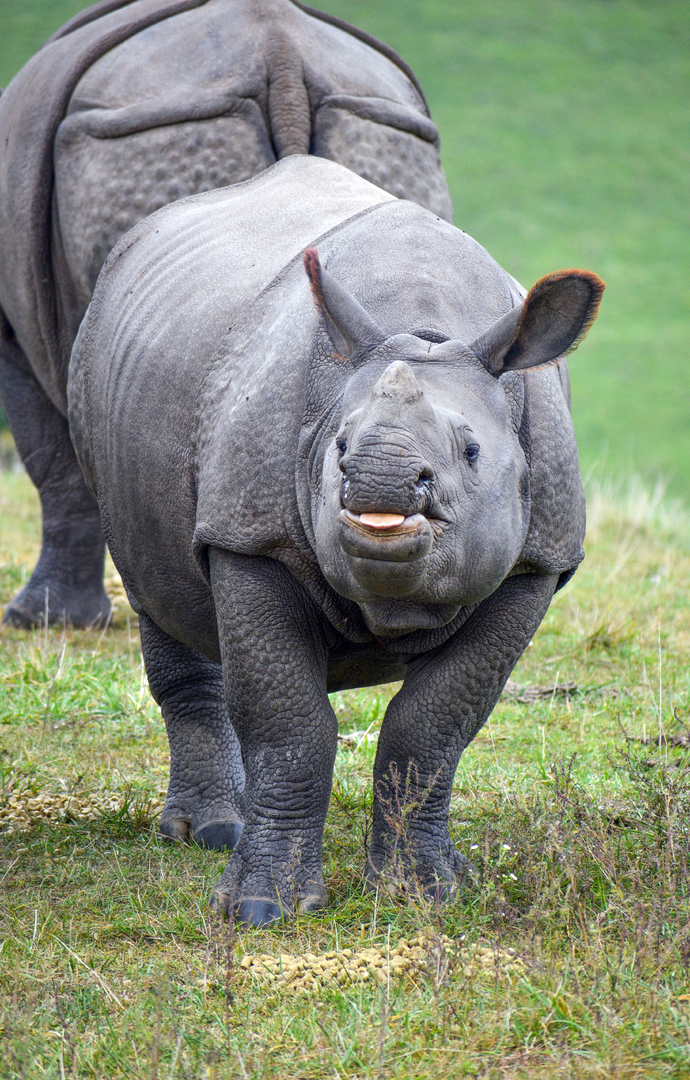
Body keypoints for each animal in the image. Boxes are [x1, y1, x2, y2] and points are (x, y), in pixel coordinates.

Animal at [68, 156, 604, 925]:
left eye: (471, 451)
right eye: (340, 448)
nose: (377, 482)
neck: (427, 328)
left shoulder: (537, 563)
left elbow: (433, 725)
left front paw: (425, 893)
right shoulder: (249, 536)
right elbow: (289, 723)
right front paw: (261, 908)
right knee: (158, 593)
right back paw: (208, 832)